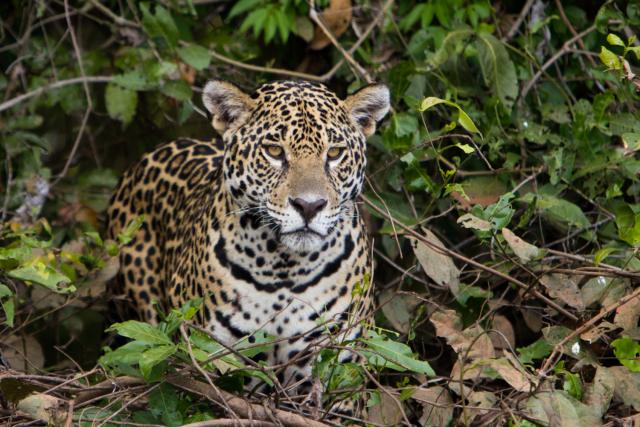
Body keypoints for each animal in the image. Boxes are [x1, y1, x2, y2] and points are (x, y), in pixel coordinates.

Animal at [106, 79, 390, 409]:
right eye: (274, 151)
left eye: (334, 153)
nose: (309, 206)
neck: (286, 267)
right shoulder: (215, 358)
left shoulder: (337, 371)